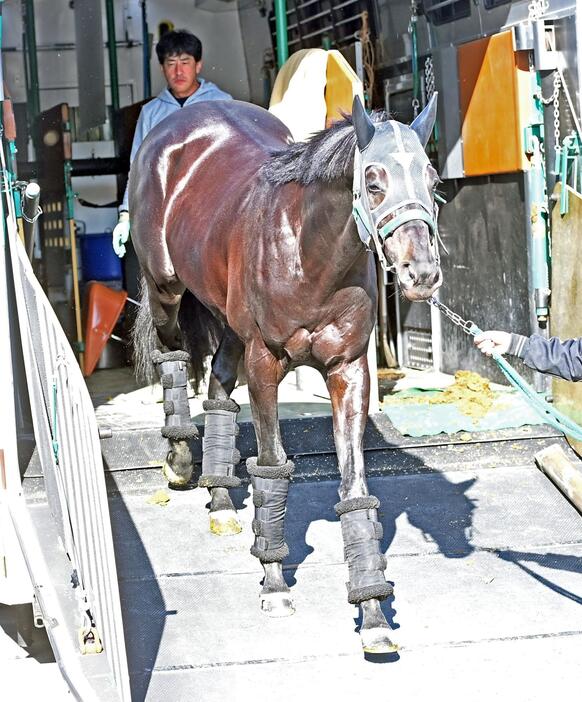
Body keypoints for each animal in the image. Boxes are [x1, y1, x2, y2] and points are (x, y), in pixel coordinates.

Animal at [131, 97, 442, 656]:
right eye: (374, 180)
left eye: (430, 178)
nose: (421, 274)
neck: (308, 254)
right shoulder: (265, 366)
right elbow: (273, 469)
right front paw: (274, 585)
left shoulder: (349, 371)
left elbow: (354, 487)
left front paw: (372, 611)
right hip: (166, 290)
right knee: (174, 359)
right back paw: (181, 462)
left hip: (229, 322)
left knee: (218, 392)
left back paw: (220, 501)